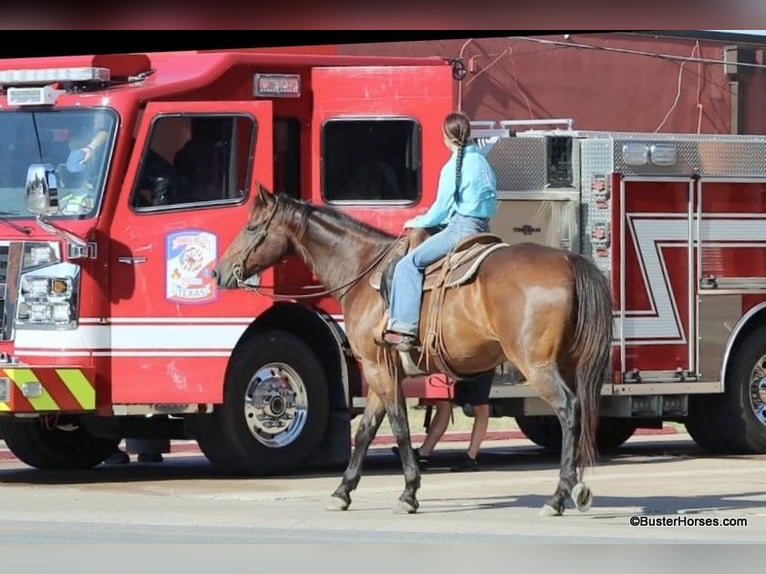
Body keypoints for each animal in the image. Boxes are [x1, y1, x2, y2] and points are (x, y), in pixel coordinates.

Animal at [213, 184, 616, 516]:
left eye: (252, 228)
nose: (219, 272)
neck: (363, 272)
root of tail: (568, 260)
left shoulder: (379, 367)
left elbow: (400, 427)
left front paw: (408, 493)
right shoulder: (379, 371)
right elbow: (366, 431)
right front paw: (343, 491)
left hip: (537, 365)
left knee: (569, 410)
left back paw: (557, 496)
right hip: (568, 364)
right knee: (582, 412)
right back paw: (577, 489)